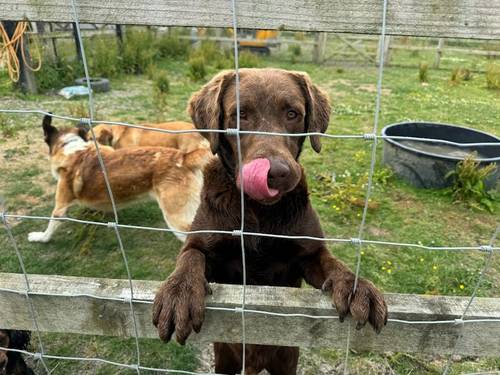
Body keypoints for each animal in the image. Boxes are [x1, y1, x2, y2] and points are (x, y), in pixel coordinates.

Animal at [27, 115, 211, 244]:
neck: (71, 148)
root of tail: (184, 157)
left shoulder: (61, 207)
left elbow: (50, 225)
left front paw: (40, 237)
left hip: (176, 219)